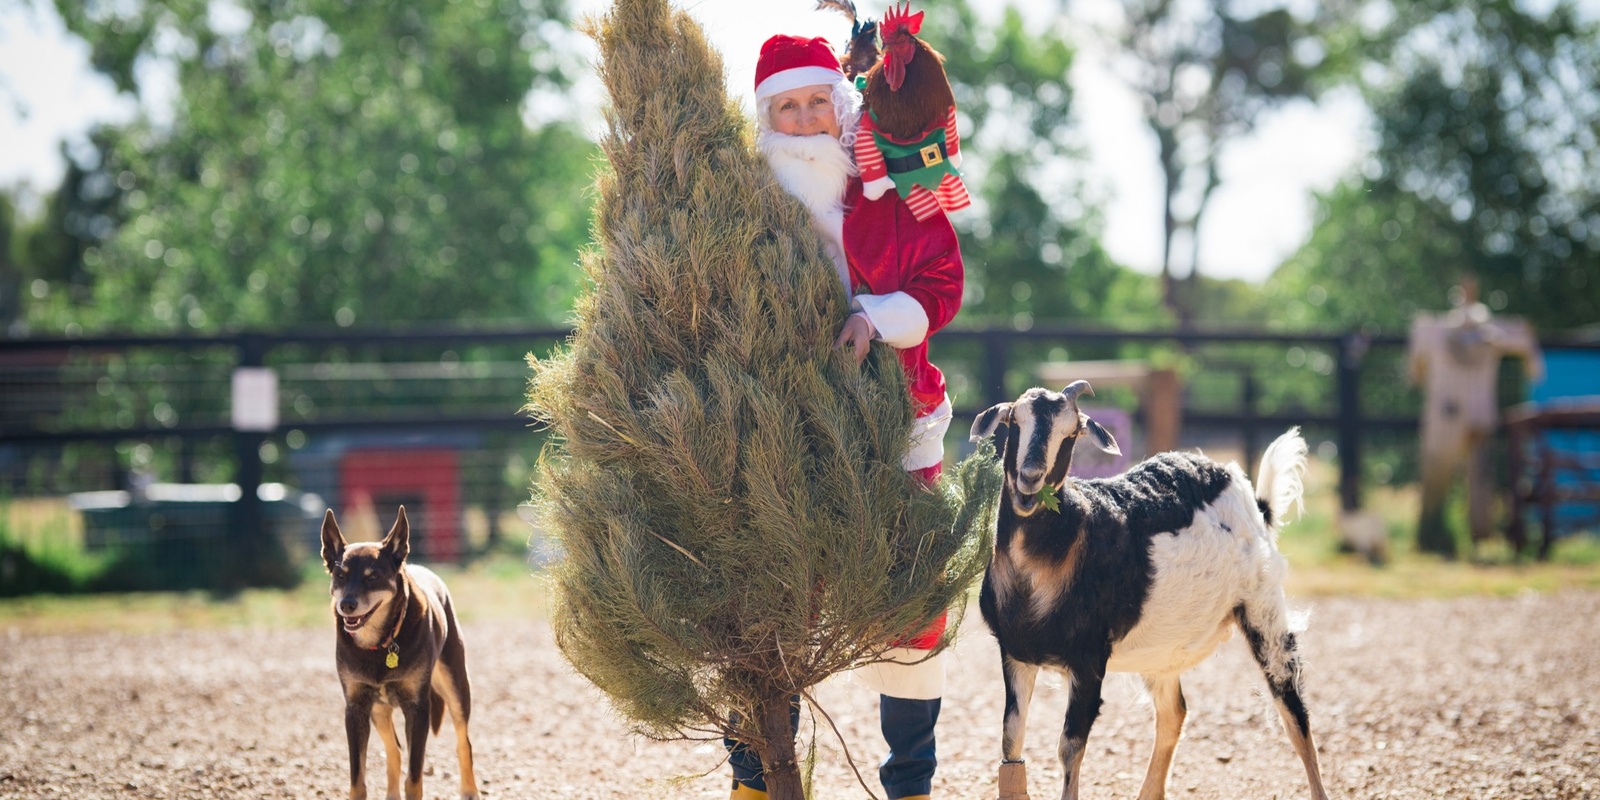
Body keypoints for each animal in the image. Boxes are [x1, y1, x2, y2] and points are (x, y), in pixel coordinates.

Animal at [321, 508, 476, 796]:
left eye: (372, 577)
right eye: (341, 576)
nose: (346, 604)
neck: (379, 643)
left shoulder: (417, 708)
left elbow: (414, 777)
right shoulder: (356, 709)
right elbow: (358, 778)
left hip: (456, 687)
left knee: (464, 741)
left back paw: (470, 790)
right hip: (379, 711)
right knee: (394, 751)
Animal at [966, 380, 1331, 800]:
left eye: (1071, 432)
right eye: (1013, 420)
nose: (1030, 477)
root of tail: (1251, 497)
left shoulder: (1089, 658)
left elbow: (1070, 747)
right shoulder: (1015, 653)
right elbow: (1011, 739)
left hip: (1263, 607)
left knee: (1293, 710)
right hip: (1164, 649)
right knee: (1173, 713)